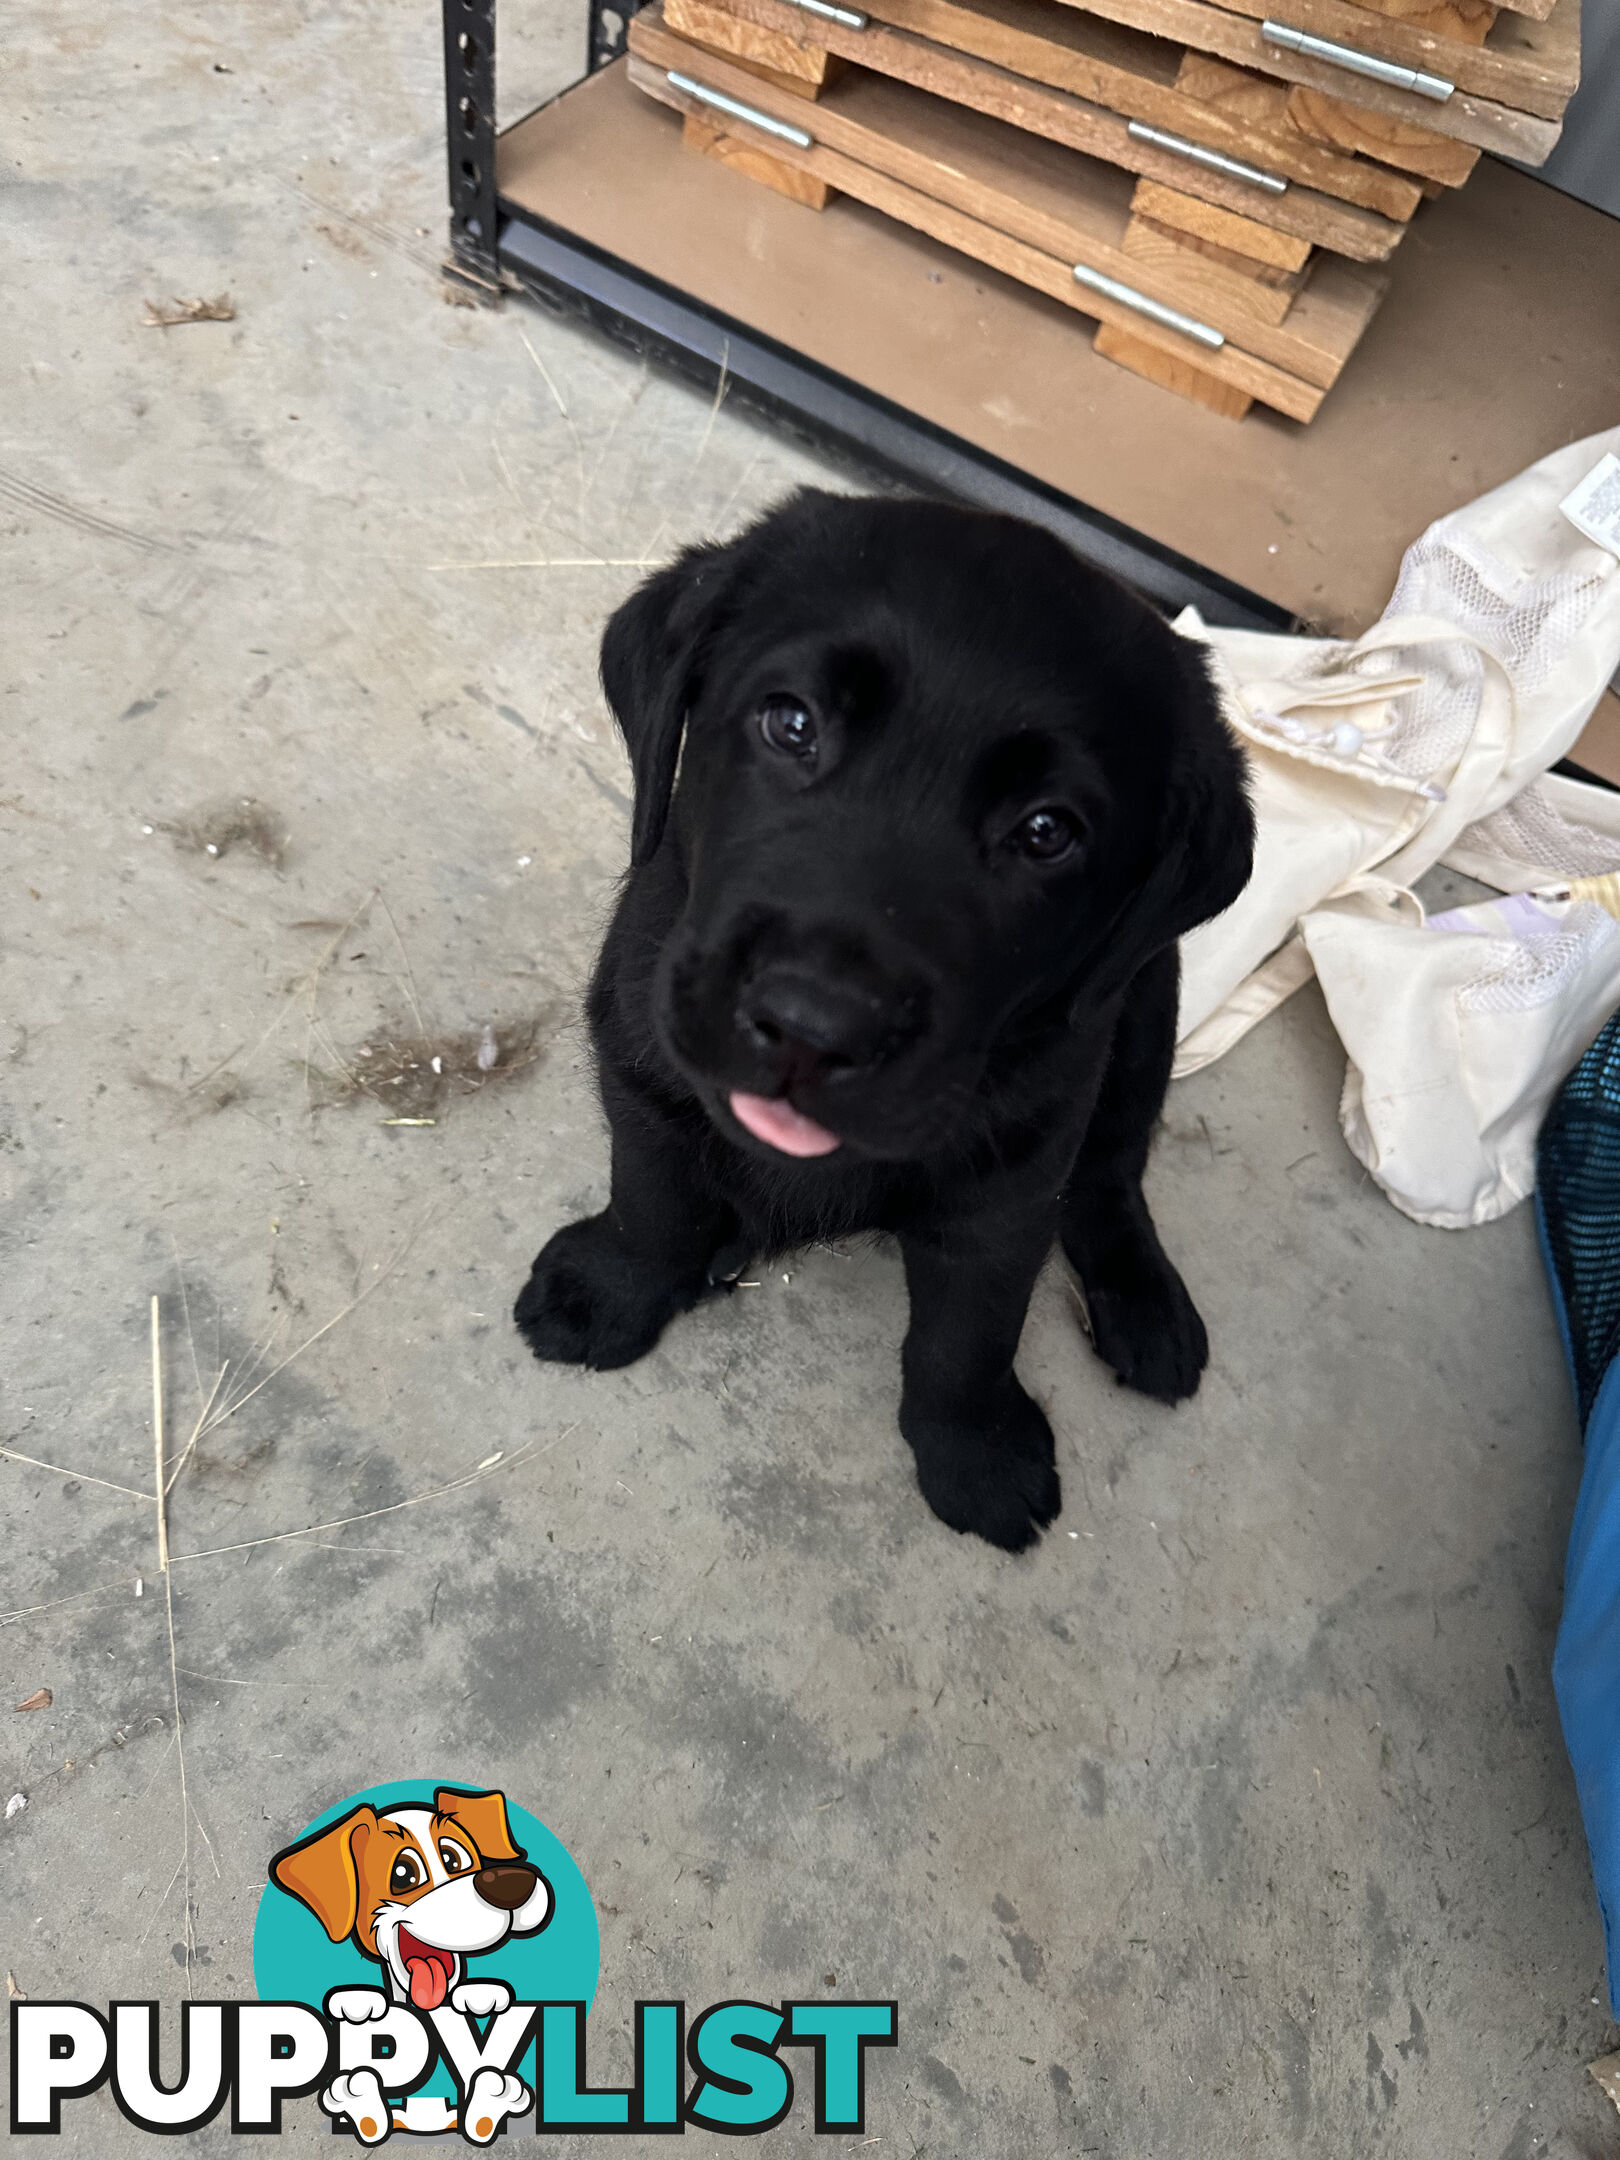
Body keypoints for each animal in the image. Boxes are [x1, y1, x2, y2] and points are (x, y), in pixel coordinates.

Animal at [520, 490, 1252, 1546]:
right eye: (790, 723)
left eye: (1048, 832)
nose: (813, 1026)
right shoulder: (643, 1068)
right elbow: (651, 1200)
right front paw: (609, 1291)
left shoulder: (1008, 1187)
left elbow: (968, 1334)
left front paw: (978, 1453)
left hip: (1145, 1010)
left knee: (1112, 1174)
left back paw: (1146, 1304)